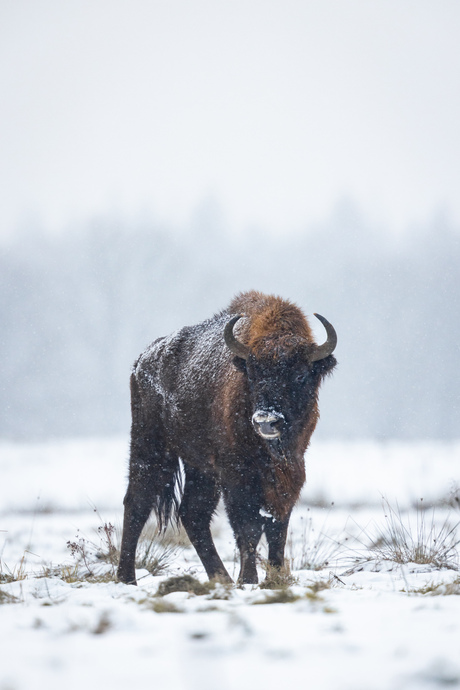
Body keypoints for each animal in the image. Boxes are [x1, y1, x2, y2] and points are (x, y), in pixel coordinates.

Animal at [117, 291, 337, 585]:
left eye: (301, 375)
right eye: (253, 374)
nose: (266, 420)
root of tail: (141, 362)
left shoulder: (289, 474)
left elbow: (278, 526)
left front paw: (275, 577)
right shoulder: (236, 476)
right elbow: (249, 526)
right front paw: (249, 579)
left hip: (199, 467)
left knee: (193, 513)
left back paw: (221, 577)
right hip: (149, 445)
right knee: (137, 502)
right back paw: (126, 578)